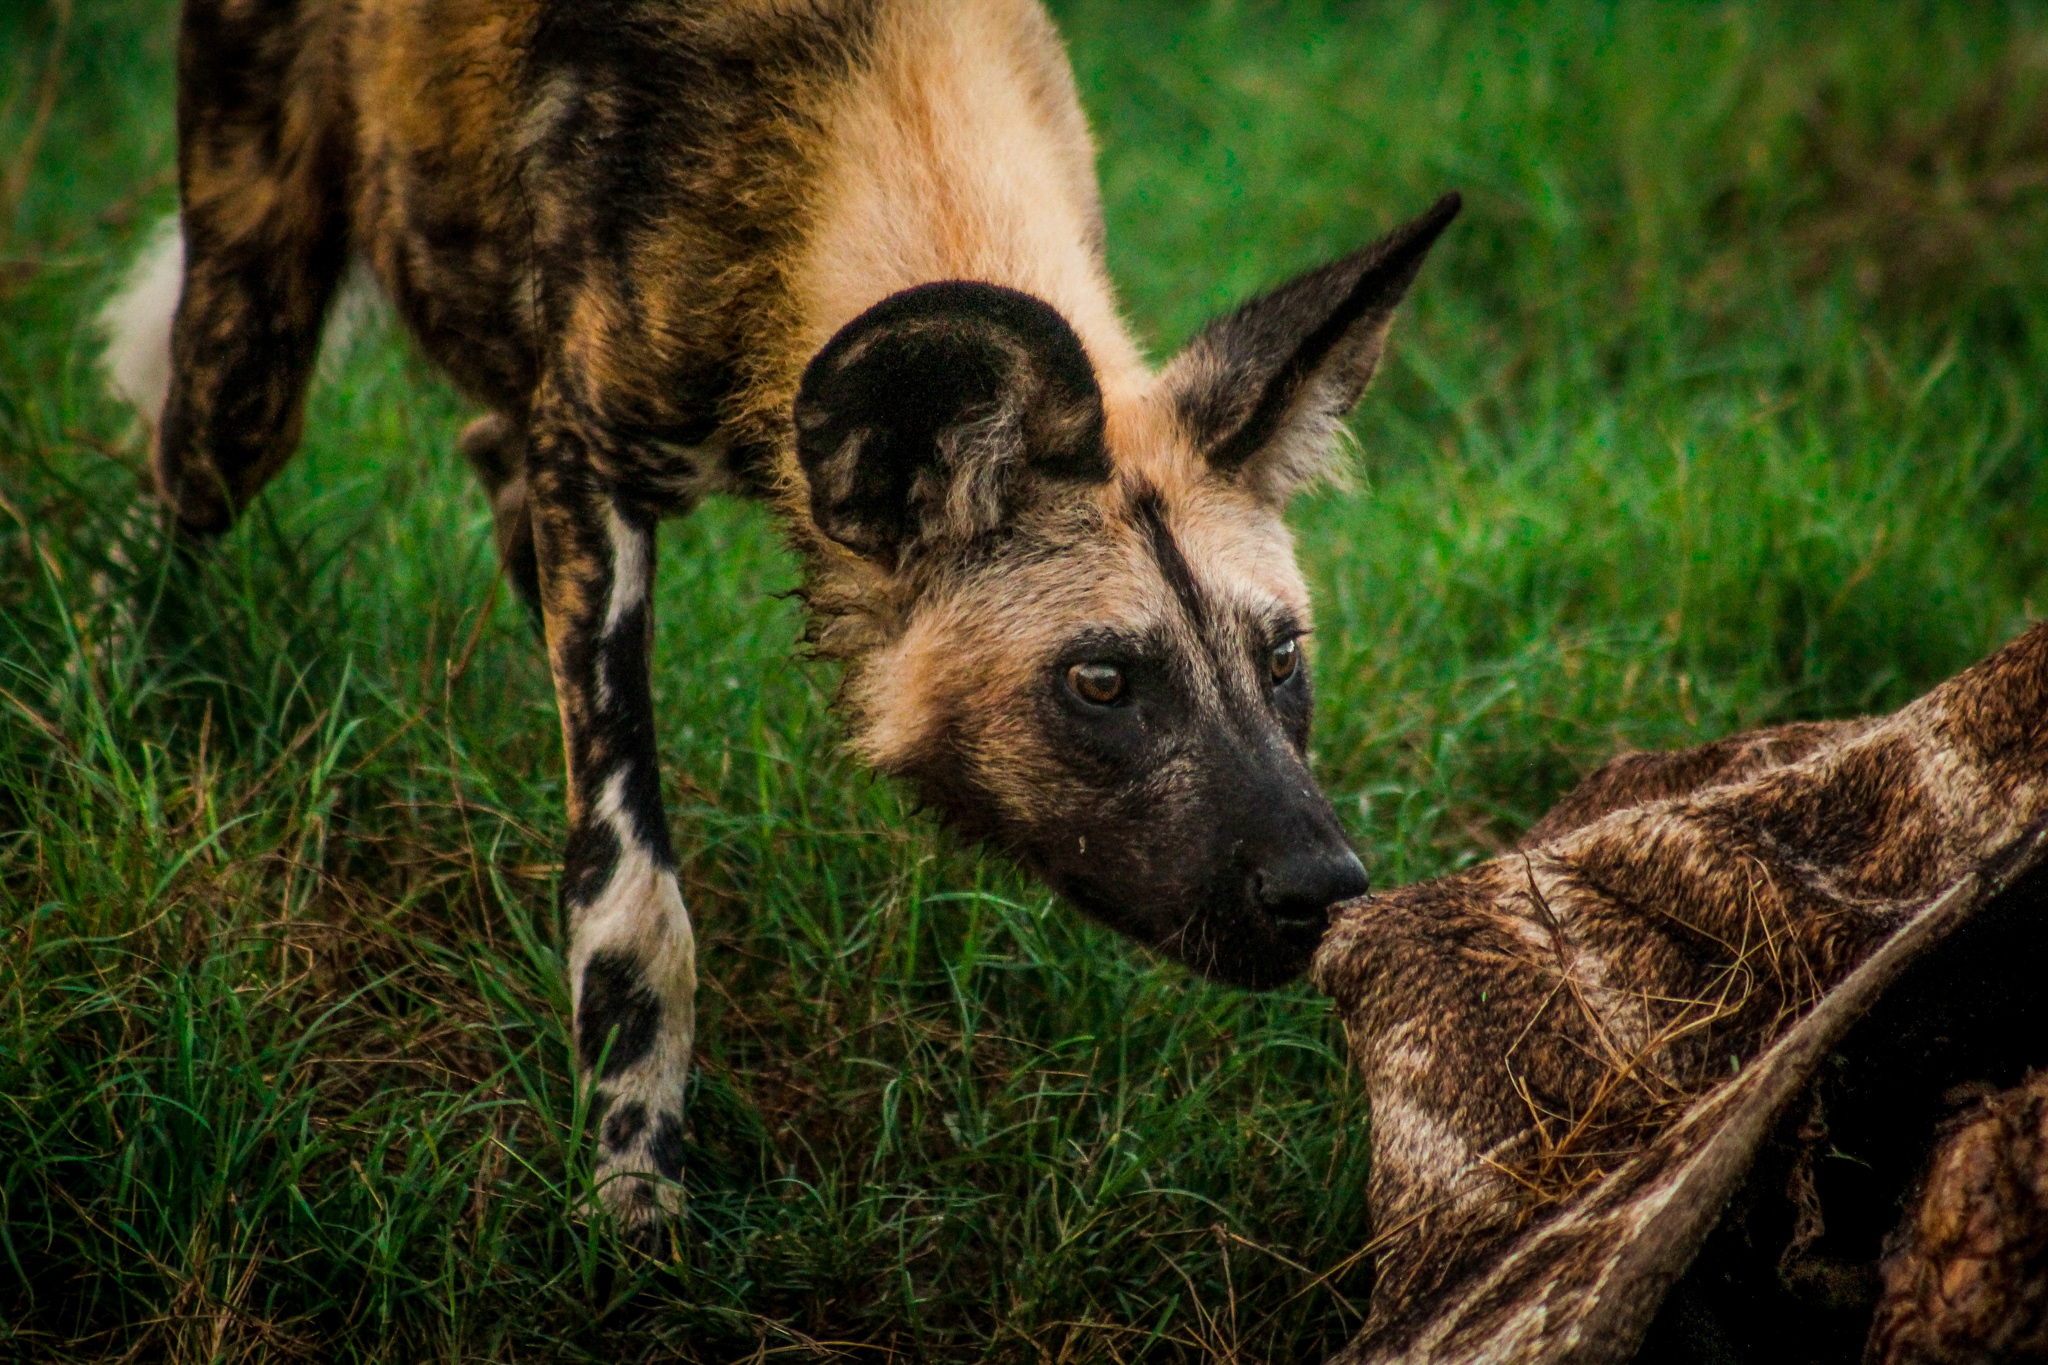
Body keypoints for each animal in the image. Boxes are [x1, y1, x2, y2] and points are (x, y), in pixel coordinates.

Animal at [103, 0, 1458, 1236]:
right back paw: (117, 681)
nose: (1325, 890)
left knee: (482, 453)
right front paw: (633, 1198)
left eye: (1279, 658)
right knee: (171, 464)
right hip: (249, 360)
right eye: (1100, 684)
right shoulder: (590, 472)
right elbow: (631, 899)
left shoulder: (571, 467)